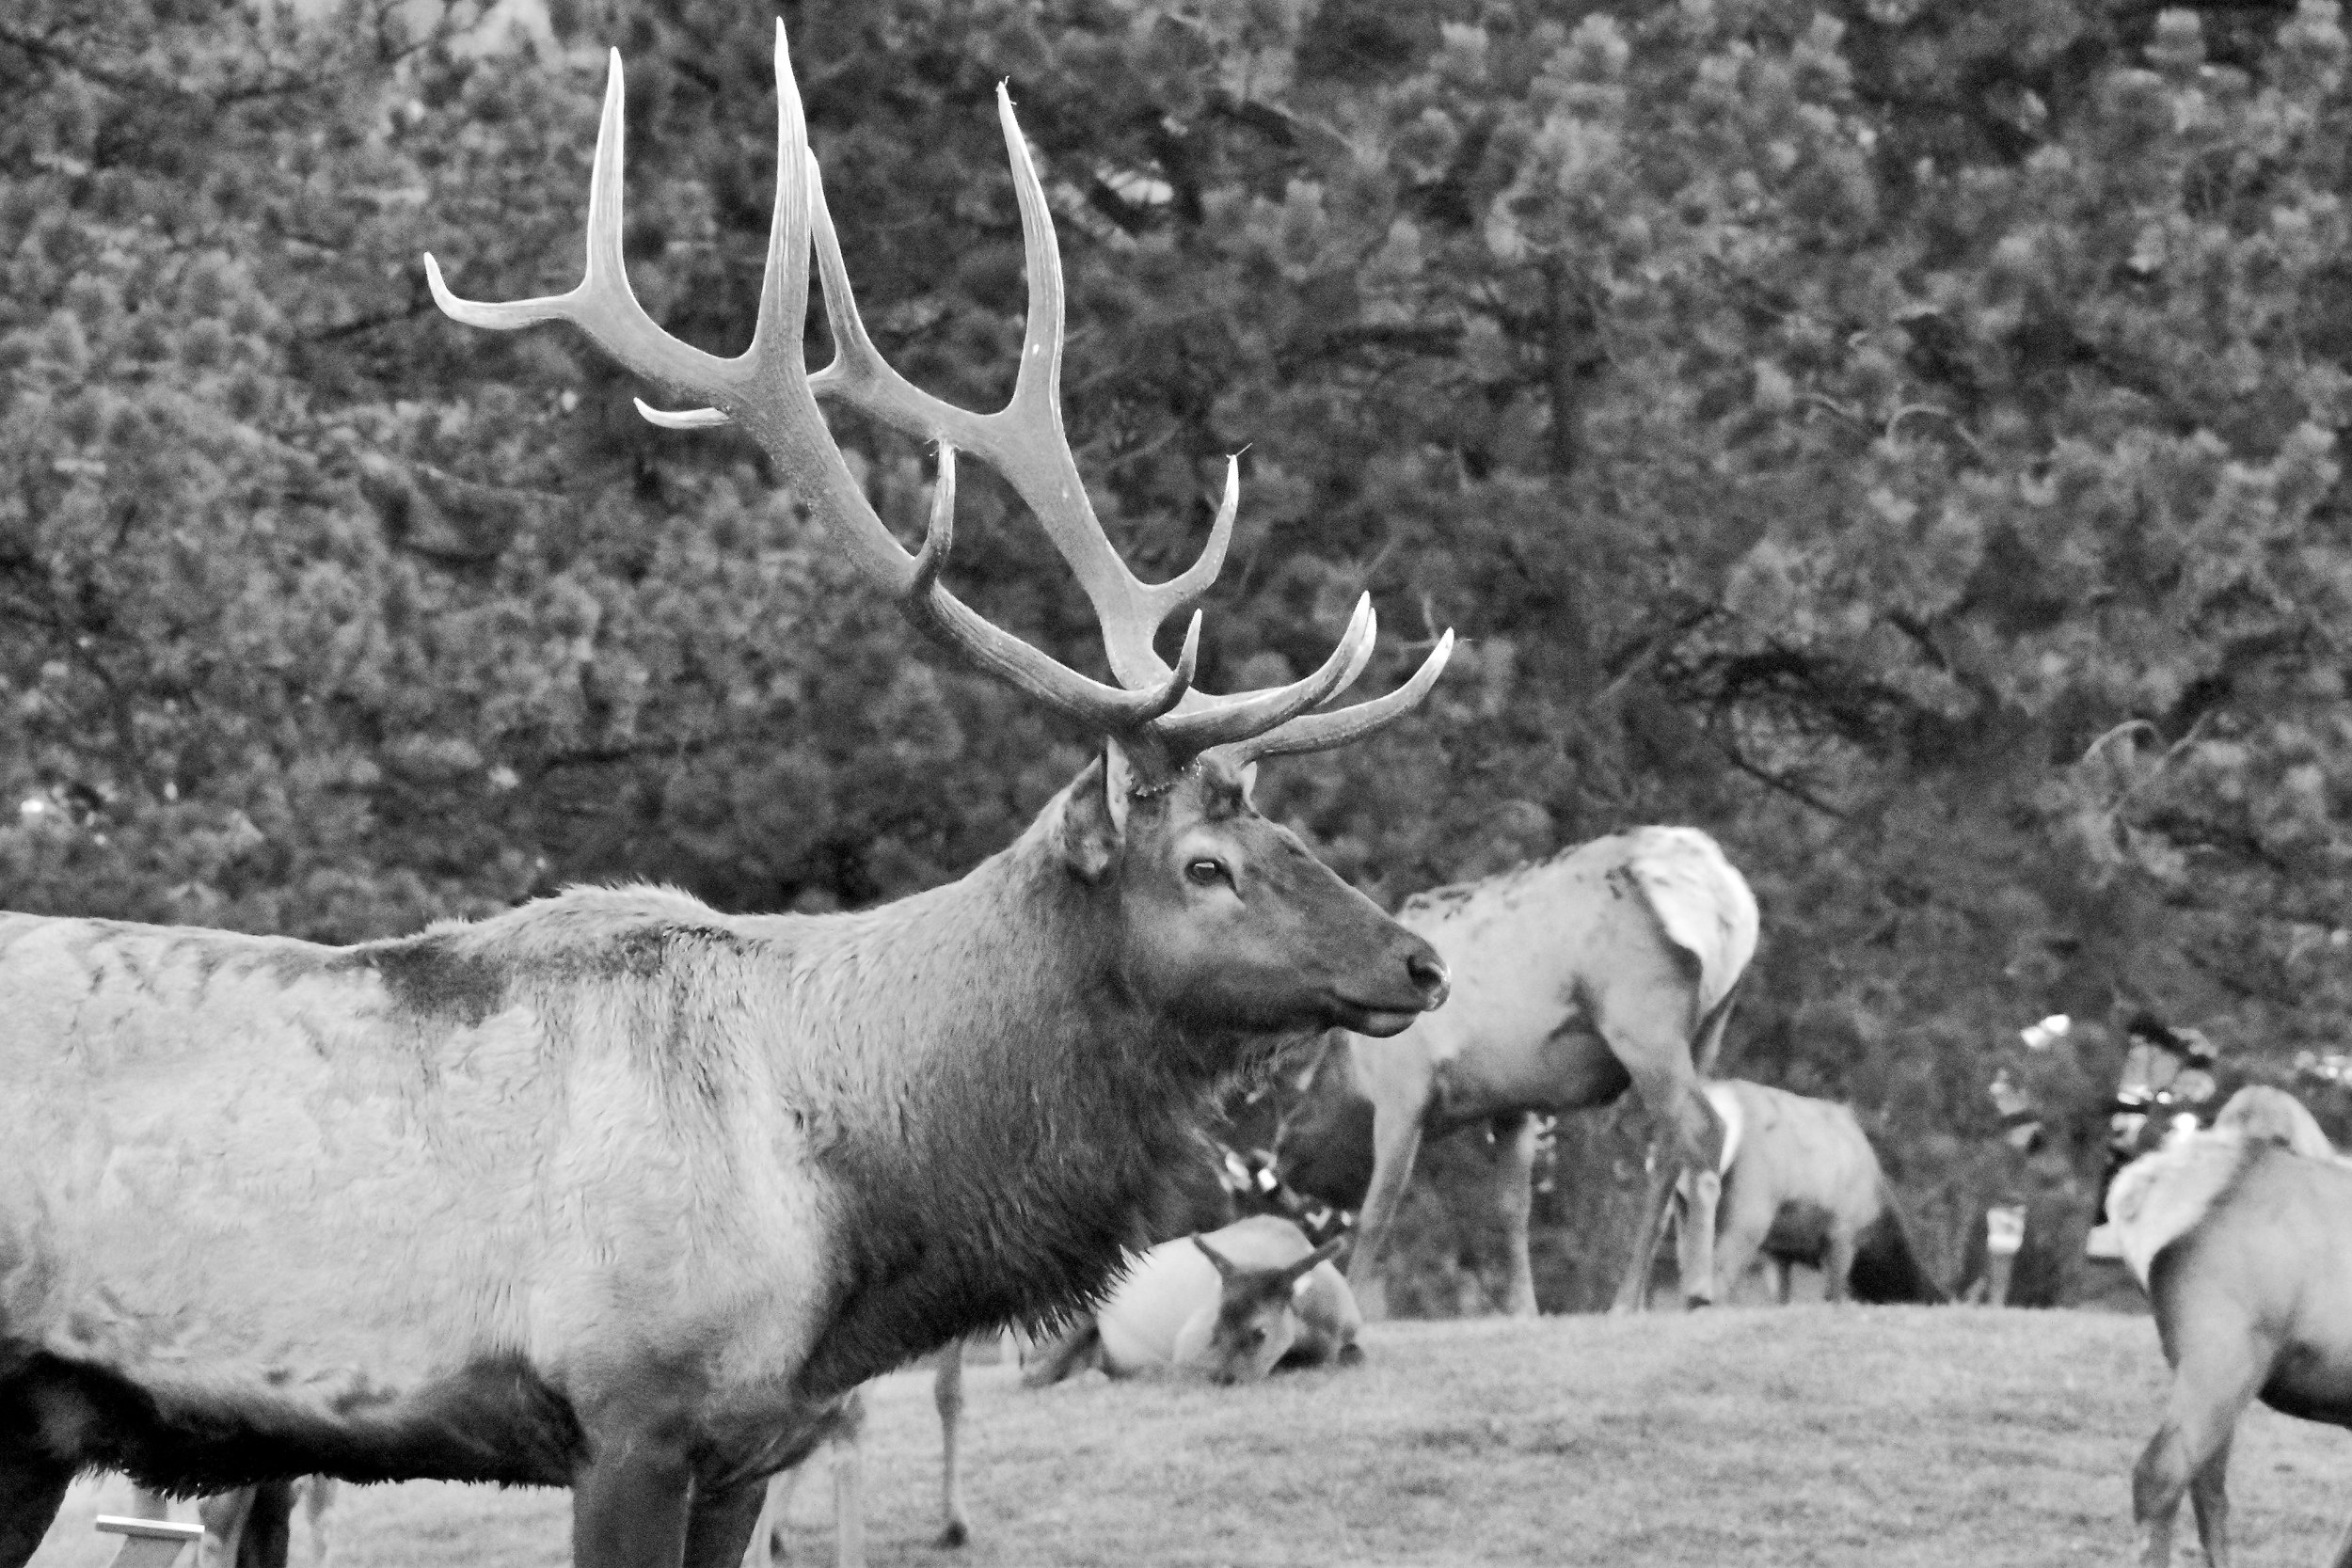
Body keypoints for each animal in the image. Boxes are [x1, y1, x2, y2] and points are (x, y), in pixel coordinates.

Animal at [0, 25, 1455, 1568]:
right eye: (1203, 865)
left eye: (1285, 827)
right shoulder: (630, 1407)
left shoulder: (752, 1441)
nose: (1421, 959)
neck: (854, 1211)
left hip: (30, 1424)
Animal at [1272, 828, 1757, 1317]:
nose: (1283, 1157)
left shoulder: (1403, 1093)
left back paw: (1694, 1291)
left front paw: (1356, 1304)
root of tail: (1725, 897)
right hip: (1708, 1030)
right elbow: (1511, 1210)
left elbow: (1378, 1210)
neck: (1353, 1073)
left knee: (1705, 1130)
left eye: (1294, 1119)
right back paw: (1628, 1300)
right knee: (1671, 1154)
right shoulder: (1512, 1101)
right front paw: (1524, 1309)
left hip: (1641, 1024)